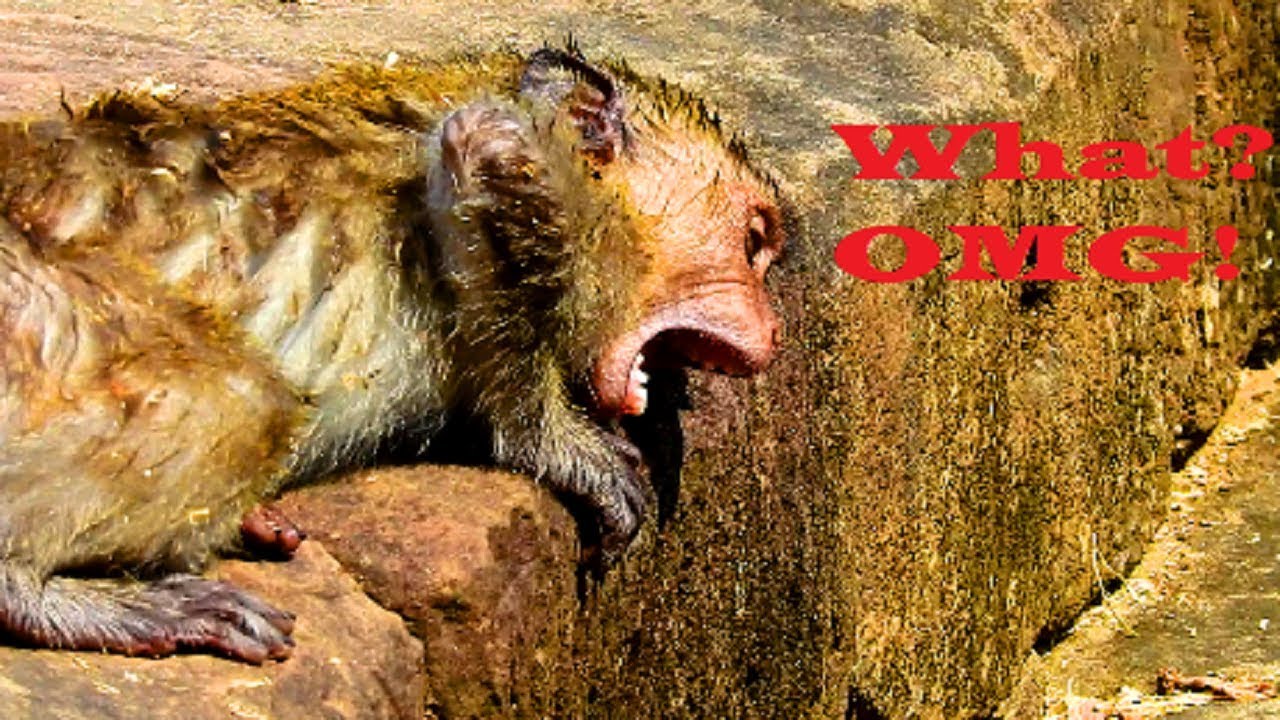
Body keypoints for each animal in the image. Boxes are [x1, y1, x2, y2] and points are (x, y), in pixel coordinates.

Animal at [0, 46, 784, 663]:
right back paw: (41, 595)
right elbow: (477, 142)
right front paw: (559, 444)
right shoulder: (539, 172)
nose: (775, 329)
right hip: (34, 325)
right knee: (241, 401)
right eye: (754, 242)